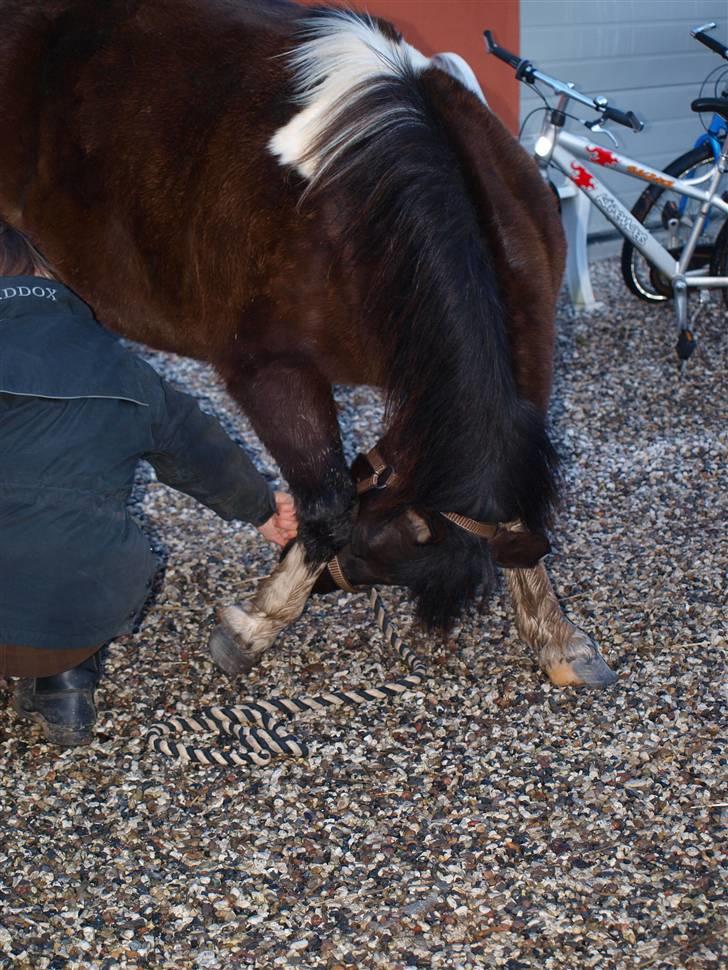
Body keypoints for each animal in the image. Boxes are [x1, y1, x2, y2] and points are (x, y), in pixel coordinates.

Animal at [0, 0, 616, 688]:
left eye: (374, 563)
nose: (325, 587)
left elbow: (519, 526)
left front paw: (557, 640)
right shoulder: (272, 372)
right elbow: (327, 502)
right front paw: (254, 626)